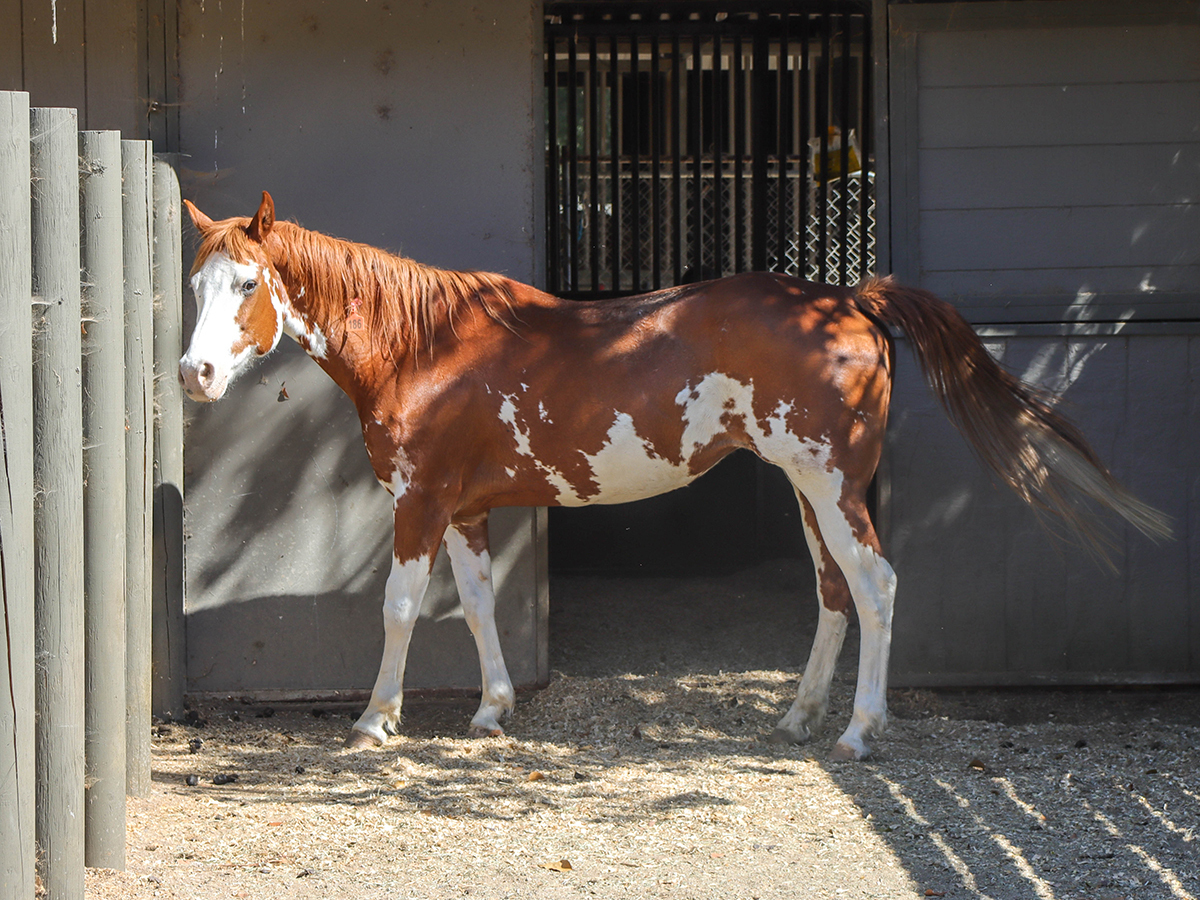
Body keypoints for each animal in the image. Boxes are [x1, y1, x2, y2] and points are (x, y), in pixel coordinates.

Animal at [180, 192, 1168, 760]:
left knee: (877, 585)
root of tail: (848, 299)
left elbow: (395, 609)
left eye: (248, 284)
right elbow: (480, 607)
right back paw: (800, 717)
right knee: (833, 592)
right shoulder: (463, 511)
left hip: (833, 484)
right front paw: (493, 710)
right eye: (195, 285)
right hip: (806, 489)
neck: (424, 346)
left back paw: (858, 730)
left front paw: (374, 720)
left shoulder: (420, 503)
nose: (194, 374)